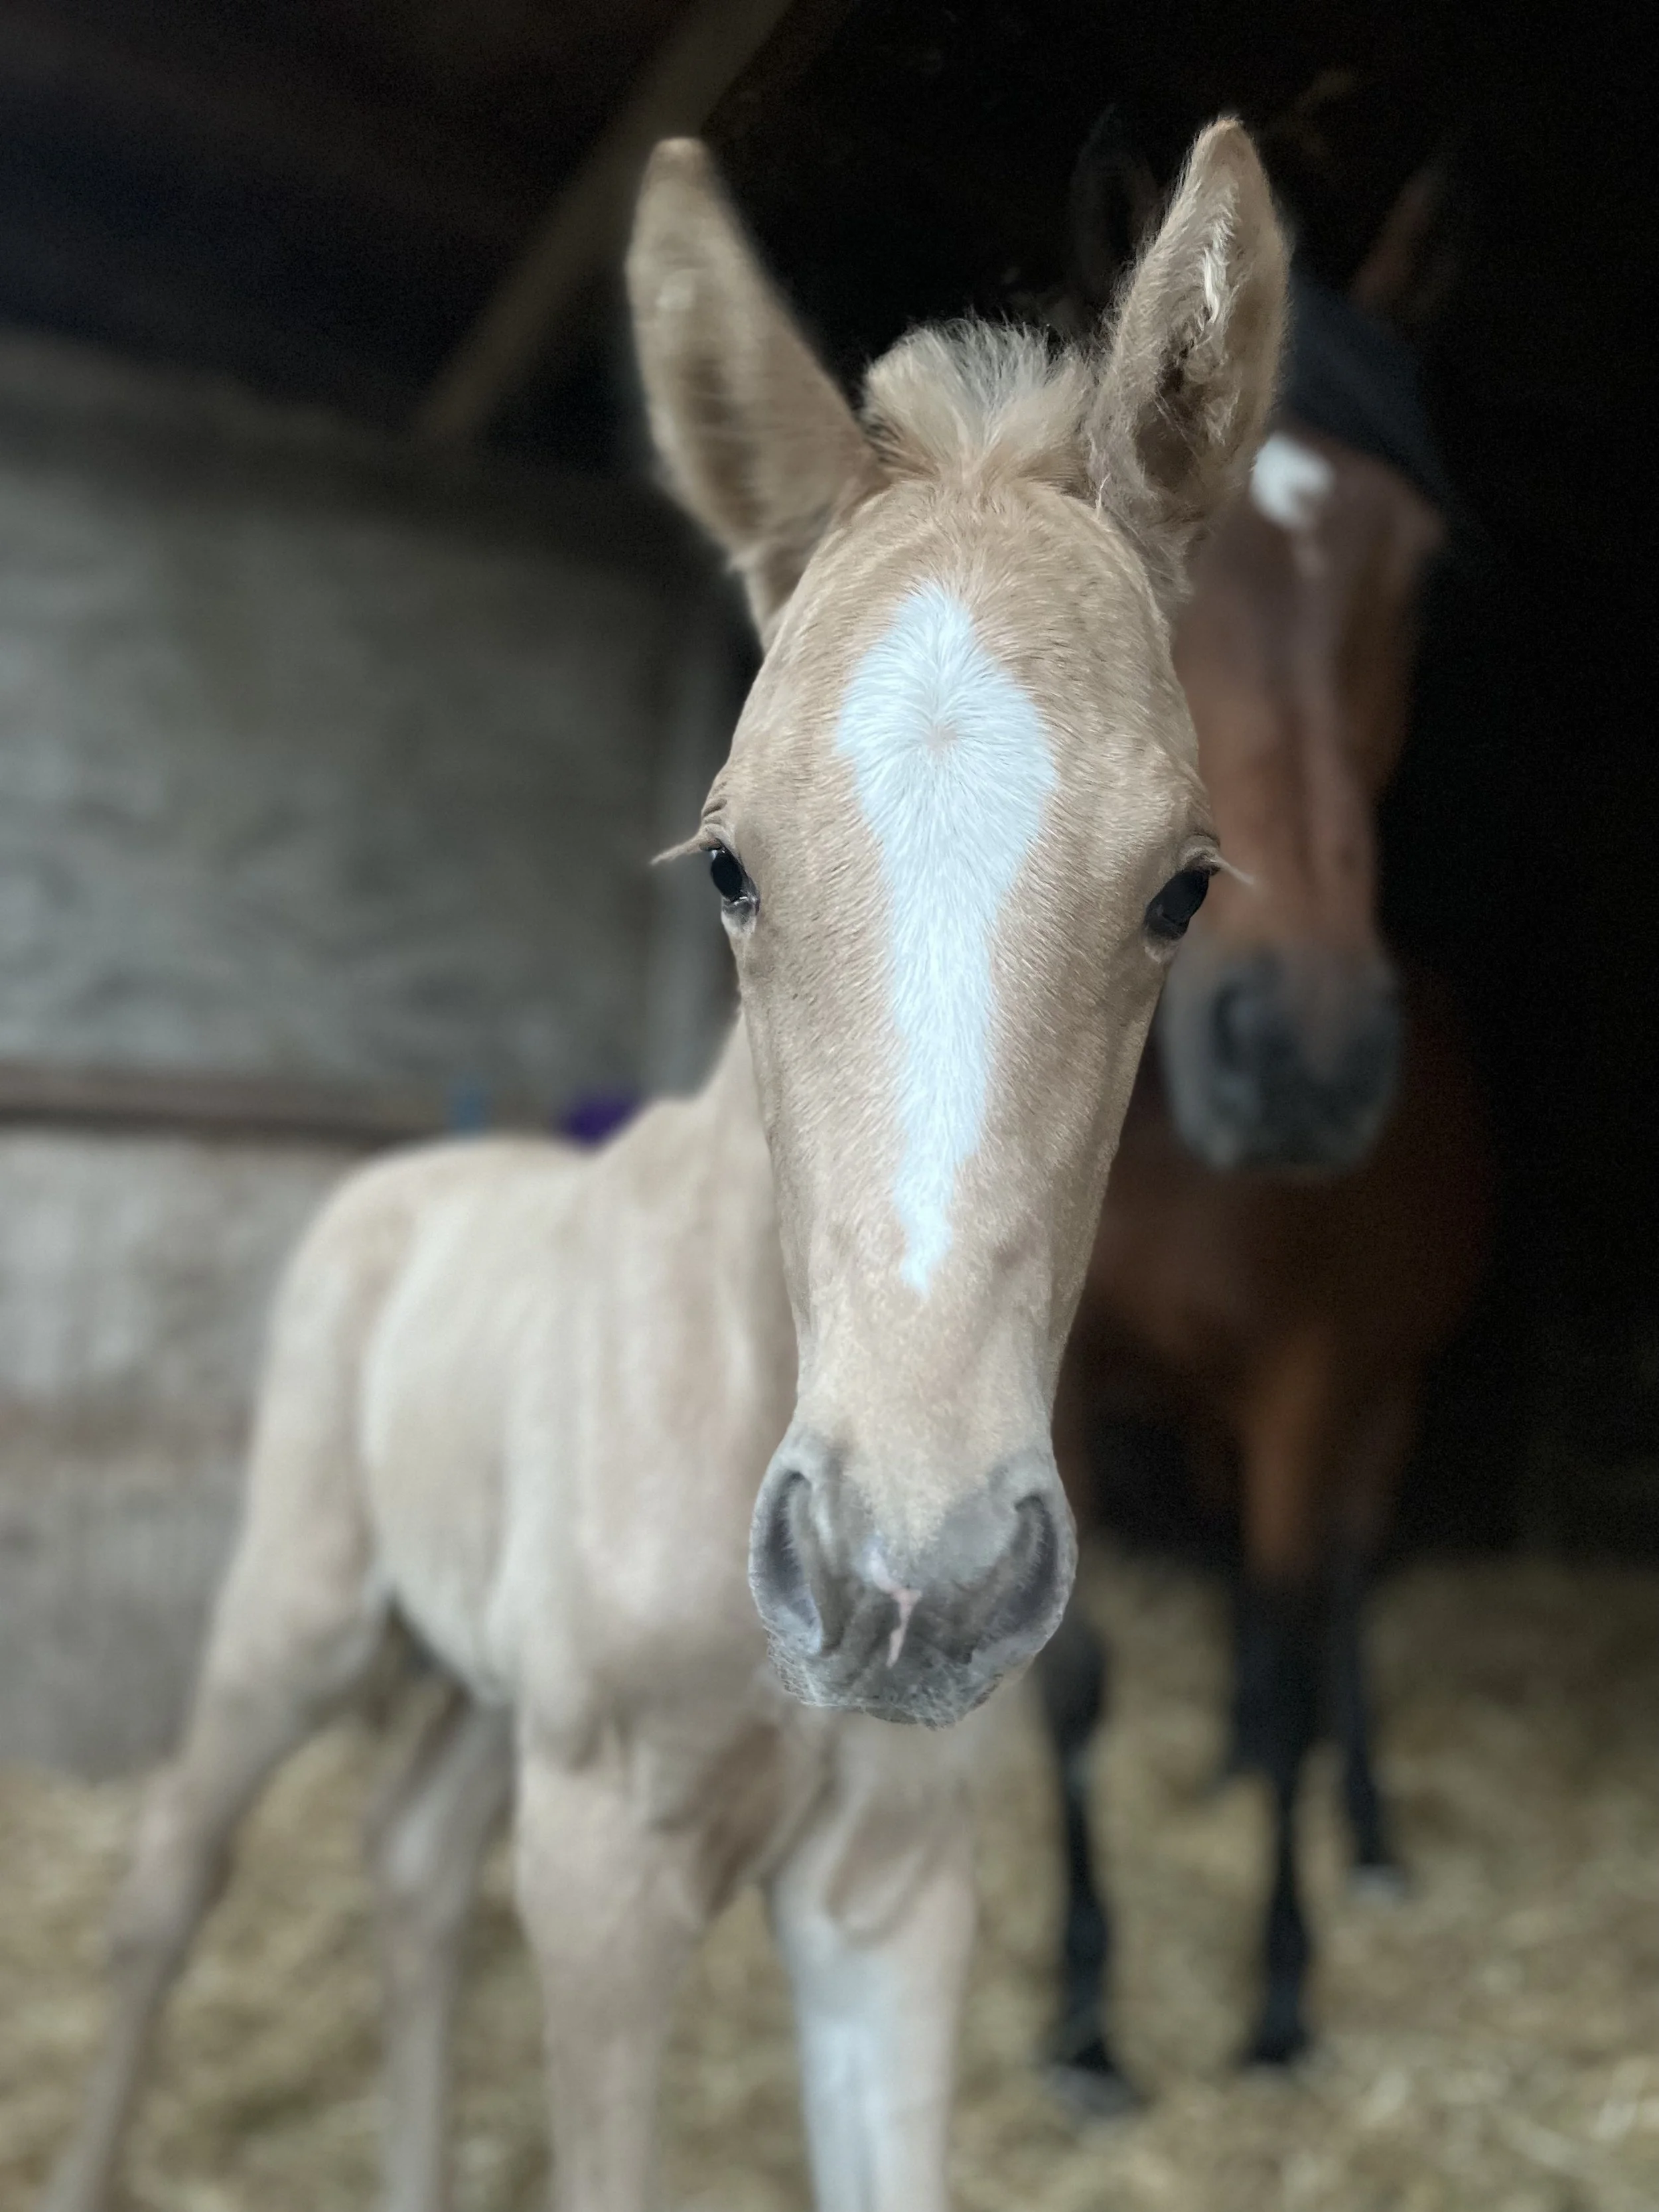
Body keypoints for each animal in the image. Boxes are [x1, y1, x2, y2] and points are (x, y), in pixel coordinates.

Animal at [43, 124, 1288, 2212]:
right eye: (726, 858)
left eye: (1181, 887)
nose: (902, 1585)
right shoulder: (604, 1862)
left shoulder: (891, 1888)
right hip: (298, 1611)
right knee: (165, 1884)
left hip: (481, 1695)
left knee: (403, 1865)